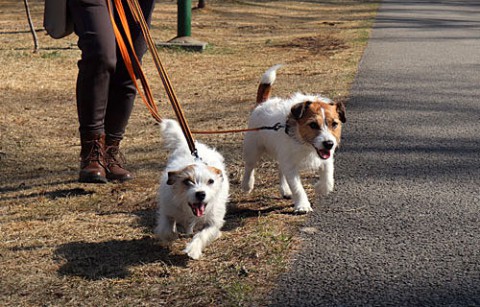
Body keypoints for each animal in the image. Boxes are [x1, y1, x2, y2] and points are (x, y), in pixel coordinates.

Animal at [154, 119, 229, 260]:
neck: (189, 212)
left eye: (211, 181)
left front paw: (193, 249)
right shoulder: (168, 211)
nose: (201, 194)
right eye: (187, 181)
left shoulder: (212, 222)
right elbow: (166, 228)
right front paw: (171, 236)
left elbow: (203, 234)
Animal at [242, 65, 346, 214]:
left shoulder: (326, 158)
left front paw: (320, 188)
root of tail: (262, 103)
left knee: (280, 170)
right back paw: (247, 185)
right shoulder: (291, 166)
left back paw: (285, 190)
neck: (305, 145)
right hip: (253, 147)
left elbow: (328, 177)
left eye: (335, 124)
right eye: (313, 125)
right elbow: (297, 187)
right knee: (250, 166)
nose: (329, 144)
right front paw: (302, 205)